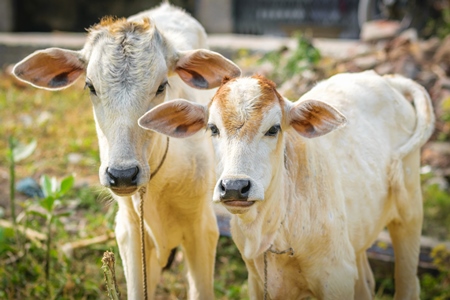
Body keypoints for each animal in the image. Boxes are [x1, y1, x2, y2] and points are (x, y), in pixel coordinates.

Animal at [139, 71, 434, 298]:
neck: (273, 229)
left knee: (409, 285)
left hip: (410, 213)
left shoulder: (336, 279)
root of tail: (385, 79)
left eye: (273, 129)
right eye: (213, 128)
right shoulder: (257, 282)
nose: (234, 187)